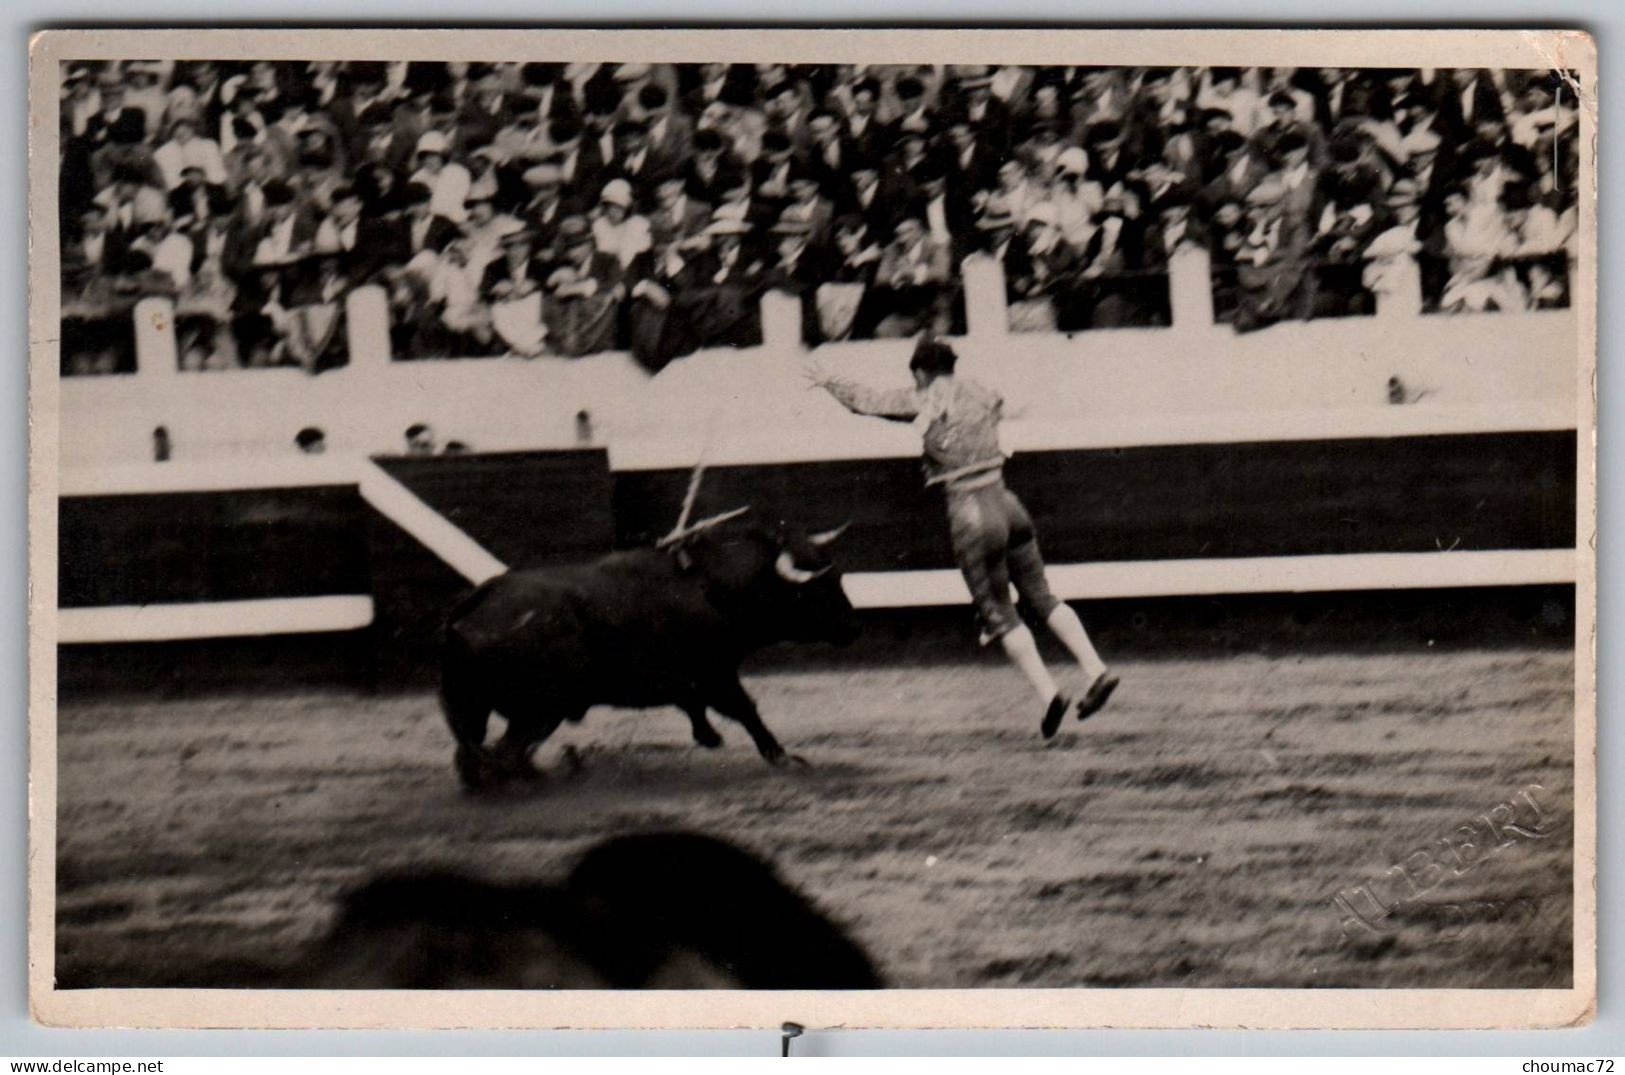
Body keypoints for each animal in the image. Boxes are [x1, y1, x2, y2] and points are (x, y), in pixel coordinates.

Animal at [438, 522, 858, 792]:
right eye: (815, 589)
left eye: (838, 577)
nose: (852, 626)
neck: (712, 584)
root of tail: (475, 604)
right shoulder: (717, 672)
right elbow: (745, 710)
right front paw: (785, 758)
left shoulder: (694, 680)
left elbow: (698, 707)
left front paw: (709, 736)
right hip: (539, 710)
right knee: (500, 755)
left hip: (479, 710)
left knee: (476, 755)